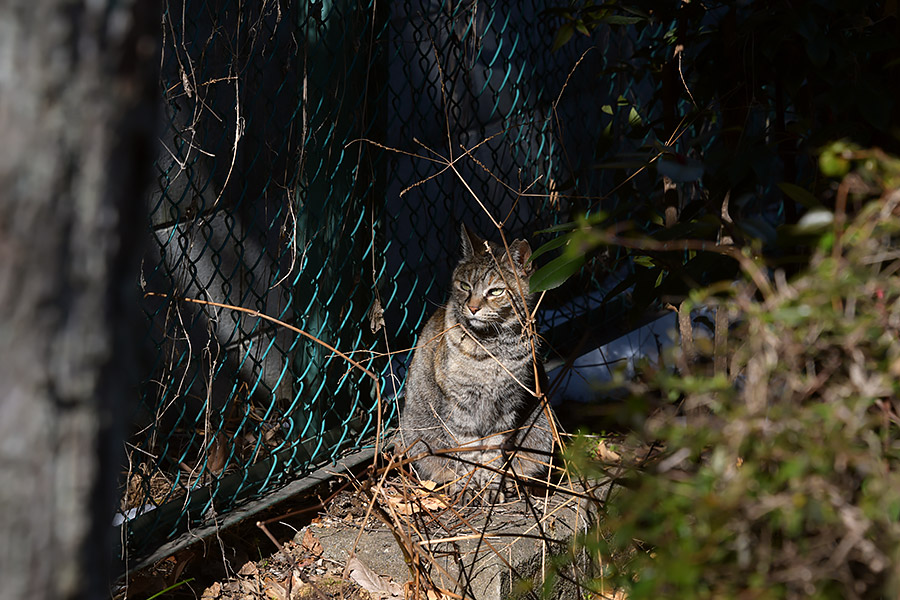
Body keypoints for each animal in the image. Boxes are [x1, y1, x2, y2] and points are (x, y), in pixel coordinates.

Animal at [396, 224, 552, 496]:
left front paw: (491, 484)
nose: (473, 307)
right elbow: (467, 451)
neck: (493, 351)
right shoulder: (459, 406)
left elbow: (492, 451)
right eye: (465, 286)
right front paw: (469, 485)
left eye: (496, 291)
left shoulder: (506, 408)